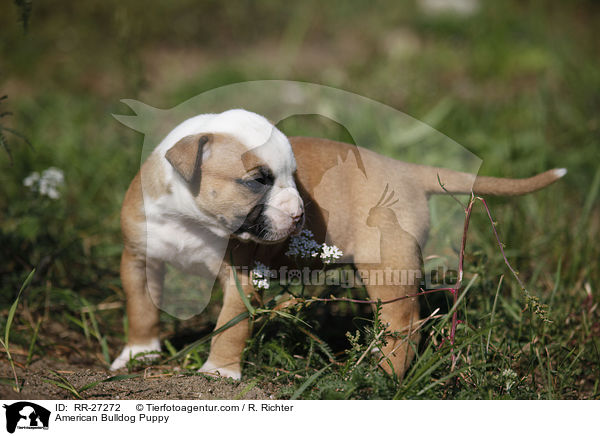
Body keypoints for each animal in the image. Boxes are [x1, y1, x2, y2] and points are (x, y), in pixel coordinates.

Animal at [112, 108, 568, 378]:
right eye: (258, 180)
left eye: (293, 177)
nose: (299, 214)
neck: (191, 221)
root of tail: (407, 170)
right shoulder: (138, 260)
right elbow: (141, 311)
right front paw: (139, 353)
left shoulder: (243, 278)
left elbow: (231, 325)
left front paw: (219, 372)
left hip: (387, 265)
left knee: (403, 323)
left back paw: (382, 376)